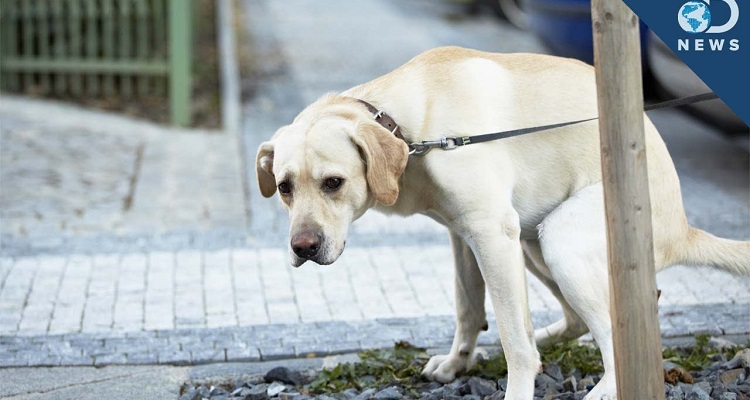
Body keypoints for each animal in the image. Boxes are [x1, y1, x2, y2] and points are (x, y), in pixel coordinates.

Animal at [254, 47, 750, 400]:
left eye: (333, 183)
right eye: (284, 188)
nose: (302, 248)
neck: (411, 131)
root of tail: (683, 229)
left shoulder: (490, 232)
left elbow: (514, 340)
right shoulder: (464, 235)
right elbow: (469, 309)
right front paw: (458, 363)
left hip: (560, 239)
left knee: (616, 336)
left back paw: (601, 387)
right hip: (532, 243)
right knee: (586, 318)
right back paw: (549, 337)